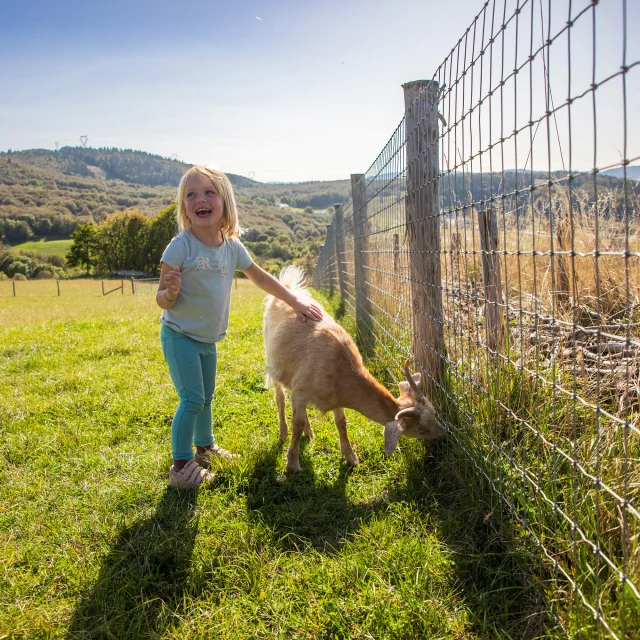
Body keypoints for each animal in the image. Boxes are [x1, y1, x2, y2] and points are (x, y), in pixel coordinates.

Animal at [263, 265, 443, 473]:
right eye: (422, 429)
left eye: (435, 414)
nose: (443, 434)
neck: (340, 364)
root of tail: (287, 287)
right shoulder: (301, 390)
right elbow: (297, 424)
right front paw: (292, 464)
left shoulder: (332, 395)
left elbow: (341, 422)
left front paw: (350, 457)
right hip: (272, 361)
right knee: (280, 399)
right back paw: (284, 432)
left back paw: (309, 432)